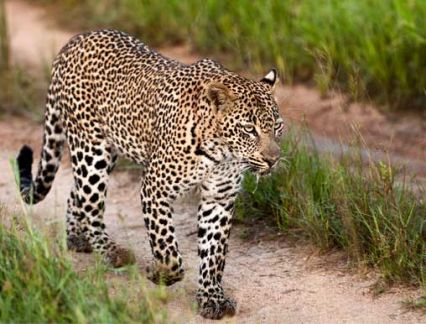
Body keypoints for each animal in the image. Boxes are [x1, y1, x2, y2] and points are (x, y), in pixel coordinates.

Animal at [16, 29, 284, 318]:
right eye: (249, 129)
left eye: (278, 127)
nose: (273, 160)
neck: (221, 154)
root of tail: (75, 40)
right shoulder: (156, 187)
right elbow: (167, 247)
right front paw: (161, 273)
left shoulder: (219, 199)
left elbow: (213, 254)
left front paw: (211, 298)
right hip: (91, 151)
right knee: (91, 204)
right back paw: (110, 251)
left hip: (106, 153)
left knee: (76, 193)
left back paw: (76, 237)